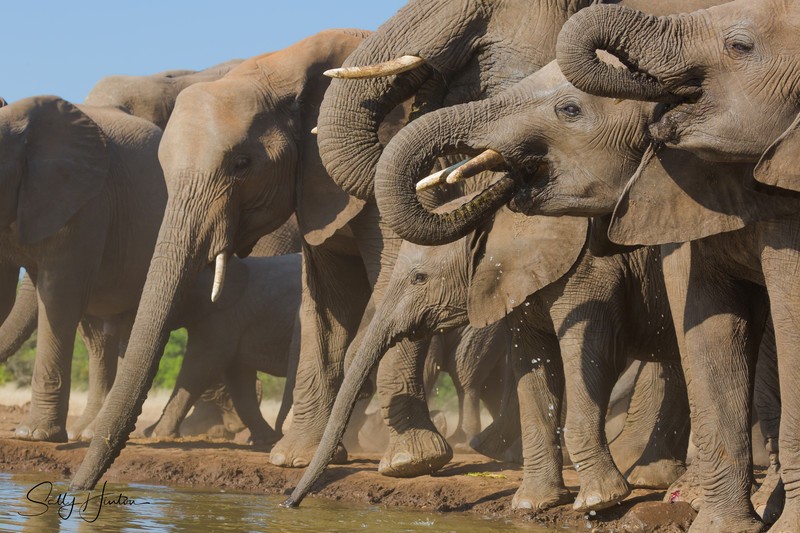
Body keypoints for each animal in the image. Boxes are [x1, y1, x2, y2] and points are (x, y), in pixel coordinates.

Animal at [0, 95, 166, 442]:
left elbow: (58, 298)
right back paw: (85, 434)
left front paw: (33, 436)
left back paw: (89, 434)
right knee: (98, 338)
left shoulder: (87, 204)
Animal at [286, 201, 691, 511]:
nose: (290, 503)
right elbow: (535, 366)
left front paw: (598, 502)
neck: (501, 220)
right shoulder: (520, 286)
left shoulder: (591, 273)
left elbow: (591, 358)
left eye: (419, 278)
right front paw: (531, 505)